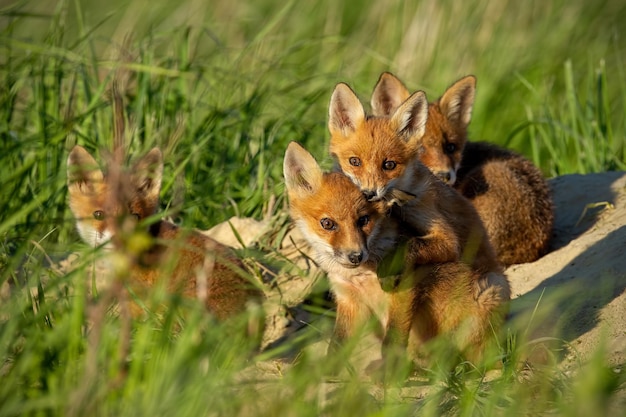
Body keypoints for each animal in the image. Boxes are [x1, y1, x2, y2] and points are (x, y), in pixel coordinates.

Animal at [282, 142, 508, 364]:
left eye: (363, 220)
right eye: (327, 224)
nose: (356, 256)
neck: (360, 277)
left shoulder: (403, 291)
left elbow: (392, 343)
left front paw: (390, 374)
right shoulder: (348, 298)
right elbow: (336, 348)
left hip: (487, 297)